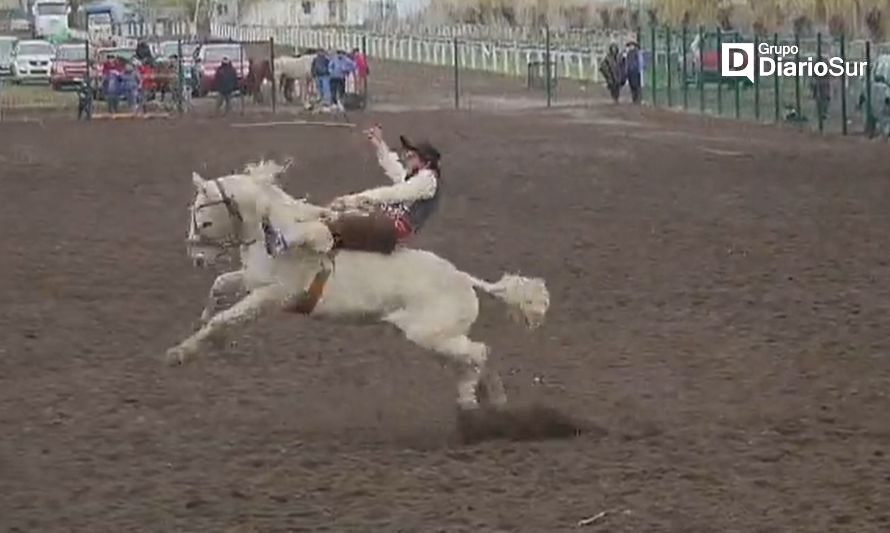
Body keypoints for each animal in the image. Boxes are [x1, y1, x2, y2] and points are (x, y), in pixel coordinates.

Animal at [172, 160, 548, 410]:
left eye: (204, 219)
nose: (196, 257)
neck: (273, 232)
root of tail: (465, 279)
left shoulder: (273, 294)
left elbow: (227, 316)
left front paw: (181, 353)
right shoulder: (251, 280)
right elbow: (219, 287)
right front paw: (205, 329)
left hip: (430, 334)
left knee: (479, 353)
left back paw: (477, 401)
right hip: (439, 339)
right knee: (472, 358)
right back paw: (485, 398)